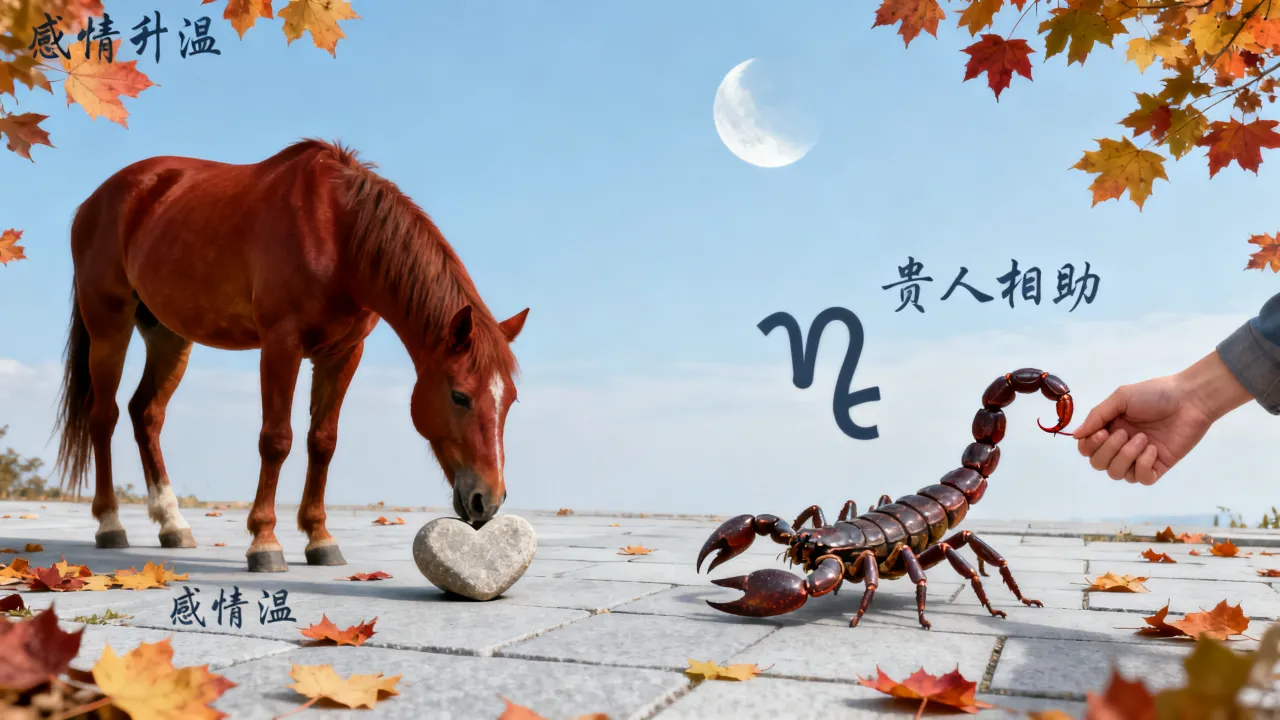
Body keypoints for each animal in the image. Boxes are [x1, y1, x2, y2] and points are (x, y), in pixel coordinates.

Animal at [52, 139, 528, 572]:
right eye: (460, 396)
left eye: (510, 402)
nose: (488, 500)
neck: (339, 233)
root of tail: (92, 203)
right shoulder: (282, 344)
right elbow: (276, 439)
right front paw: (264, 542)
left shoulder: (343, 354)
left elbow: (323, 442)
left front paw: (320, 538)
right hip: (108, 325)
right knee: (104, 417)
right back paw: (110, 525)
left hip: (169, 336)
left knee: (146, 414)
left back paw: (172, 524)